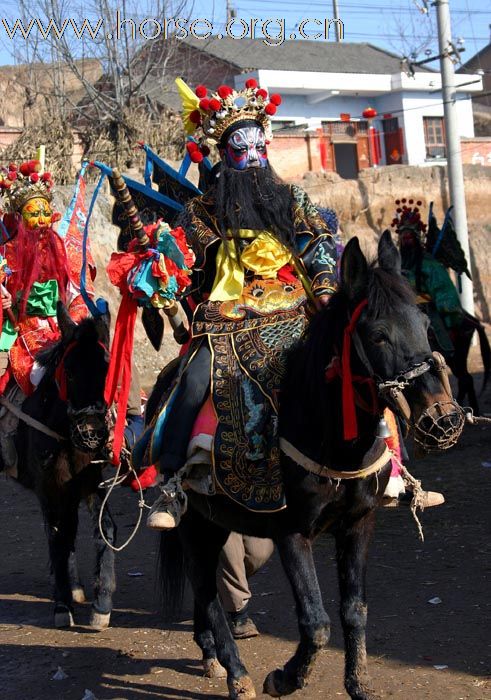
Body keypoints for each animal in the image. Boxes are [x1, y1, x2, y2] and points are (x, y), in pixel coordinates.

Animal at [11, 302, 116, 628]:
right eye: (68, 371)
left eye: (108, 369)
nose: (92, 433)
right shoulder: (48, 486)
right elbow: (57, 536)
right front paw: (61, 605)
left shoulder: (88, 480)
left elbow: (103, 528)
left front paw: (101, 604)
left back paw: (77, 588)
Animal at [155, 234, 466, 700]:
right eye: (377, 335)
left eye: (426, 327)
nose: (442, 417)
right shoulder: (292, 532)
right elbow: (316, 622)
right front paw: (283, 678)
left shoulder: (359, 523)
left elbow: (354, 610)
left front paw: (359, 684)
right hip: (193, 522)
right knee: (206, 587)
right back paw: (236, 673)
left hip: (217, 520)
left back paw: (210, 654)